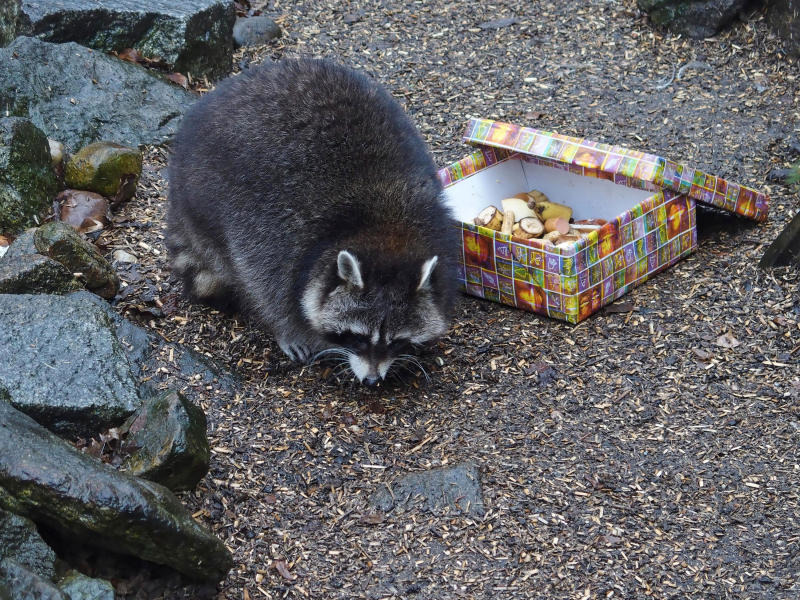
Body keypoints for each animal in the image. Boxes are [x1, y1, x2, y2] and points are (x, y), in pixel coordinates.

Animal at [167, 57, 456, 384]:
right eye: (357, 337)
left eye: (396, 341)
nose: (371, 380)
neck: (386, 229)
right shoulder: (275, 231)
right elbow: (263, 281)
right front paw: (286, 328)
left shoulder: (434, 220)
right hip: (207, 186)